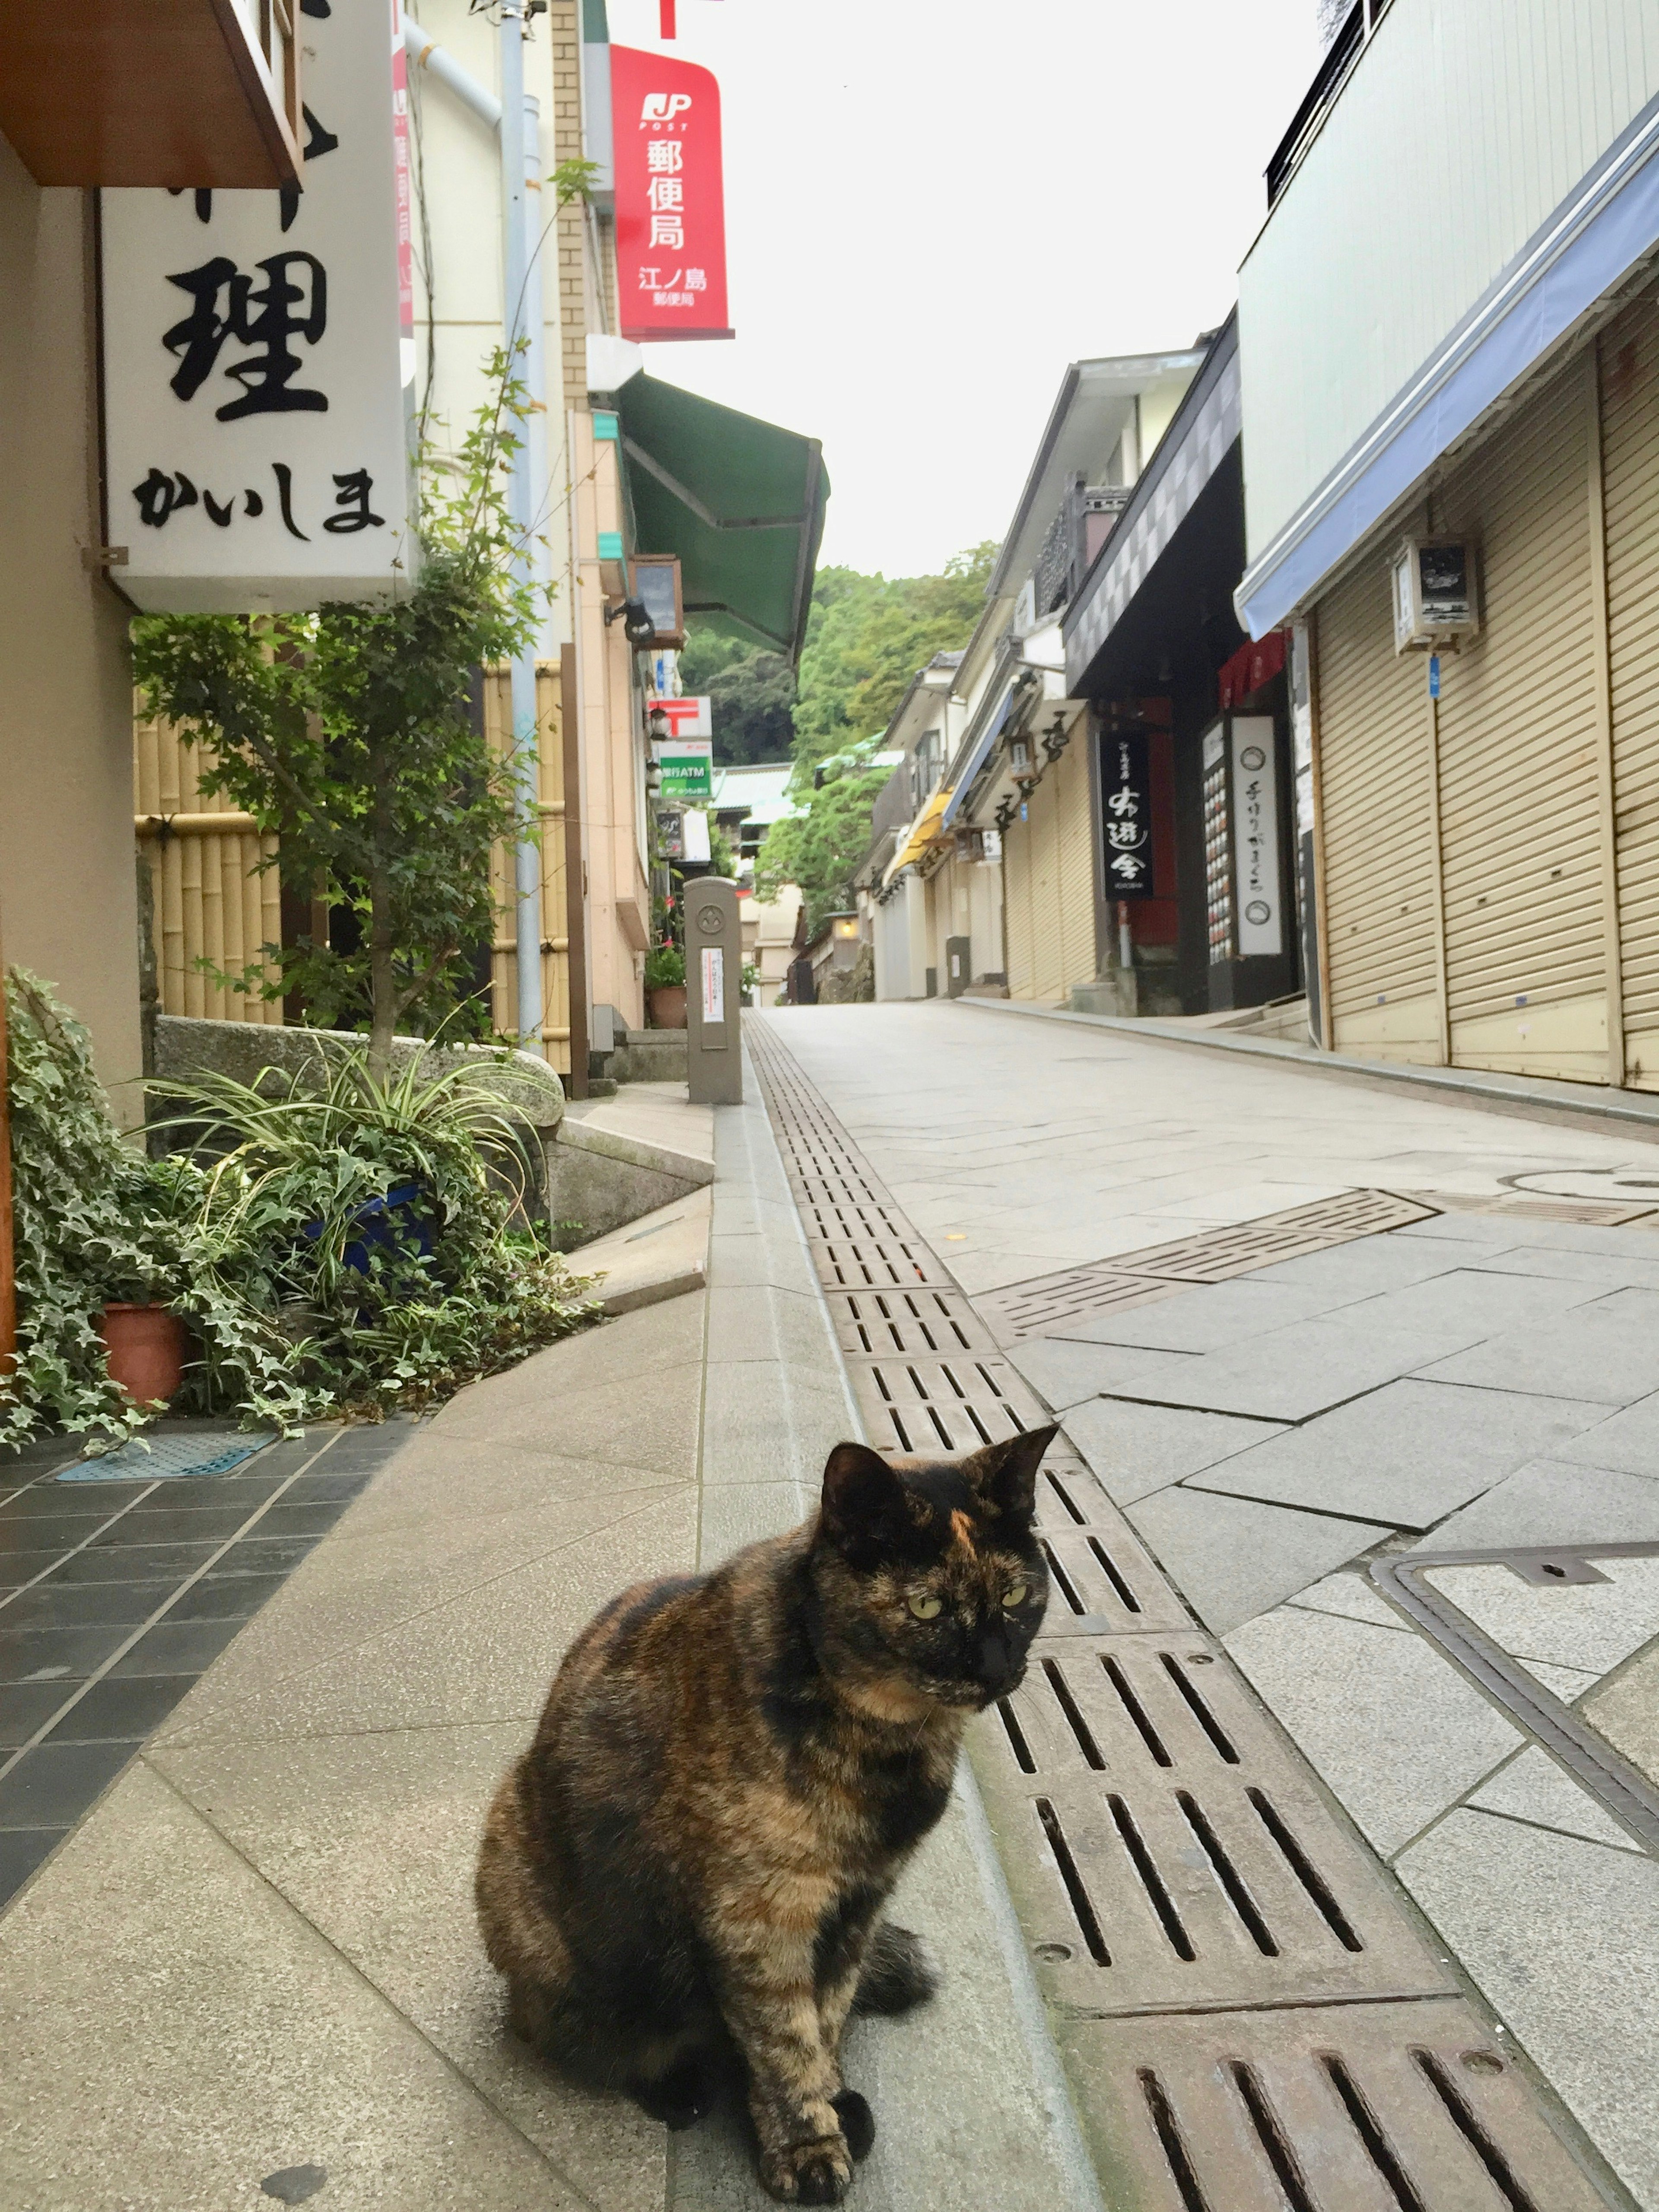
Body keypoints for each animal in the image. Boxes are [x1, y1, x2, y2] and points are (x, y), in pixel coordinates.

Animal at [473, 1424, 1057, 2203]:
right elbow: (783, 2040)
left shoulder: (858, 1905)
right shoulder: (758, 1917)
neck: (892, 1751)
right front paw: (806, 2149)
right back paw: (677, 2086)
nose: (996, 1668)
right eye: (929, 1610)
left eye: (1019, 1594)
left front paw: (833, 2099)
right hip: (552, 1917)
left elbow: (826, 2019)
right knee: (602, 2042)